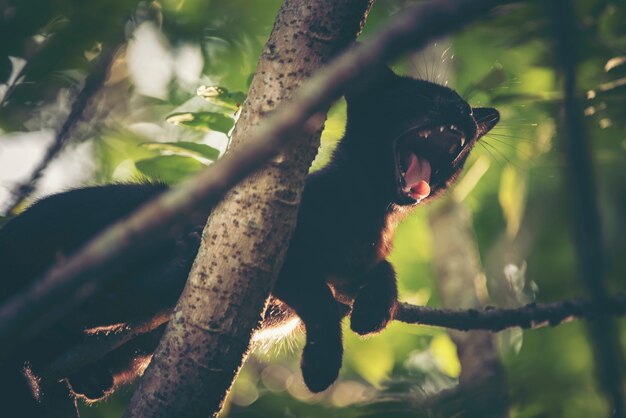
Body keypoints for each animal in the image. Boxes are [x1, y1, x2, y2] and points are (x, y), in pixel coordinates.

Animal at [0, 67, 498, 414]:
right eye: (427, 96)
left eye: (469, 116)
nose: (463, 115)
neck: (369, 213)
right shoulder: (272, 253)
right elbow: (318, 300)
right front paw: (321, 365)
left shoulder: (337, 275)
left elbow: (377, 272)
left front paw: (375, 309)